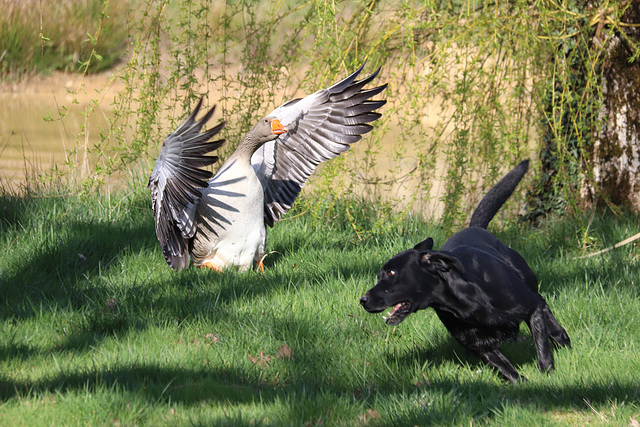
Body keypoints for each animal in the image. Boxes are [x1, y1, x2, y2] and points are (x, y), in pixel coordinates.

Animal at [360, 161, 568, 384]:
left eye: (390, 273)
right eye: (379, 276)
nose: (363, 300)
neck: (464, 302)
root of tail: (476, 228)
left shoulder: (530, 306)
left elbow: (542, 344)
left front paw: (547, 373)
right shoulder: (479, 345)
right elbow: (505, 368)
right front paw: (522, 383)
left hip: (528, 282)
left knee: (544, 308)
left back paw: (561, 337)